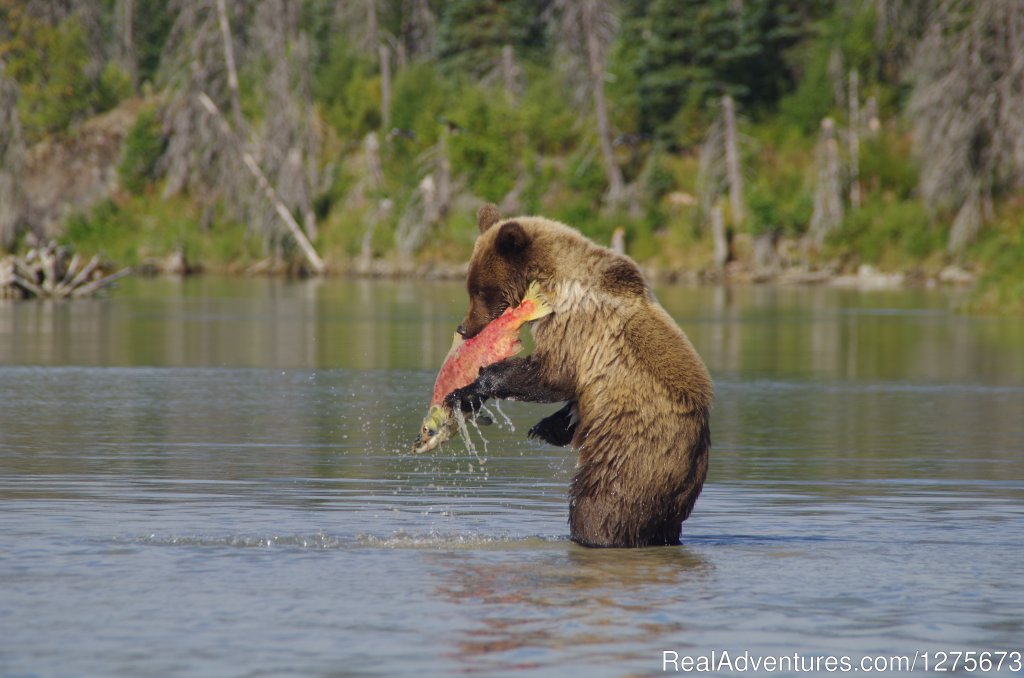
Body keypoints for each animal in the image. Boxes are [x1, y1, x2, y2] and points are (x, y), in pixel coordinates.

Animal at [448, 204, 712, 548]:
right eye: (470, 286)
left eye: (479, 289)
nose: (464, 328)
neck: (550, 284)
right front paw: (546, 427)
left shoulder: (577, 324)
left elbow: (552, 374)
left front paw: (470, 387)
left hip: (634, 451)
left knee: (601, 504)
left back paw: (591, 535)